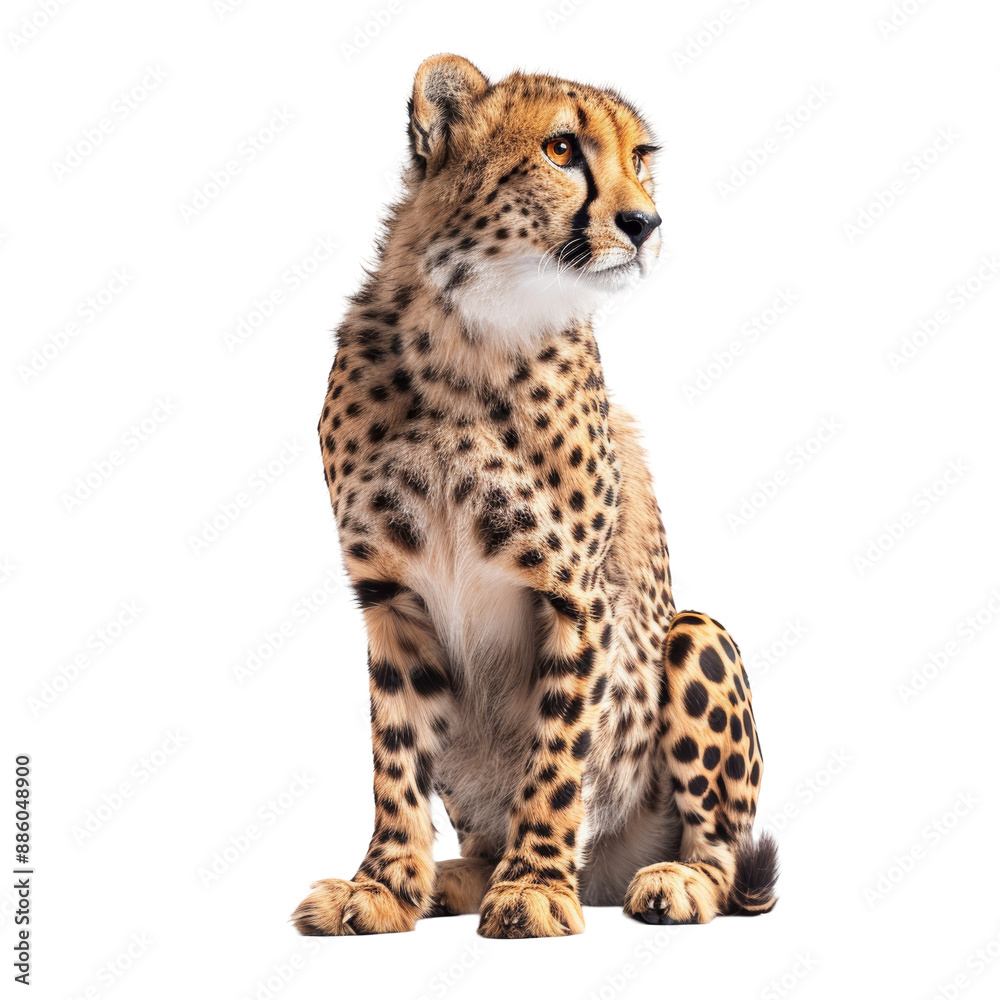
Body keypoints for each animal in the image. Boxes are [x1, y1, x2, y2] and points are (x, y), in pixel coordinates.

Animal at [291, 54, 778, 939]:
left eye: (641, 156)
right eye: (561, 149)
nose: (645, 223)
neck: (469, 335)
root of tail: (608, 873)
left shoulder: (573, 594)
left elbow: (555, 757)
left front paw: (536, 887)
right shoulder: (390, 595)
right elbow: (395, 761)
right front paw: (383, 886)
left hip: (693, 634)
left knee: (723, 850)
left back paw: (673, 880)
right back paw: (452, 880)